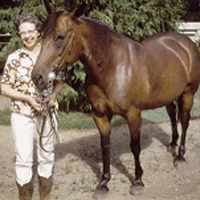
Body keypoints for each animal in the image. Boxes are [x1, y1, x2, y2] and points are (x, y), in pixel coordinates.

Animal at [31, 3, 200, 196]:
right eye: (41, 34)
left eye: (60, 36)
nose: (37, 77)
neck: (113, 66)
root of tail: (186, 42)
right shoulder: (100, 114)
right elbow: (105, 146)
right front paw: (104, 182)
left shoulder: (133, 114)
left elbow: (135, 146)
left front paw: (138, 181)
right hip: (168, 95)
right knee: (172, 116)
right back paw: (172, 144)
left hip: (188, 93)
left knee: (184, 120)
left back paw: (180, 156)